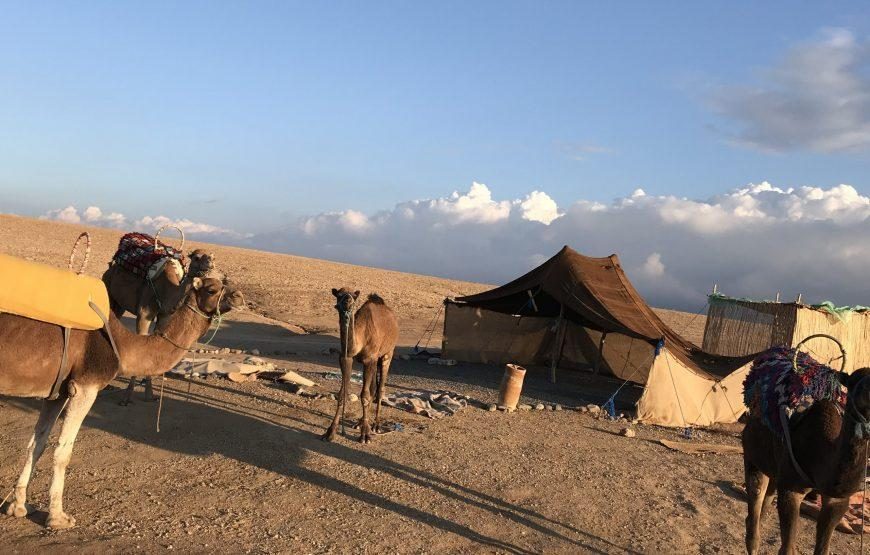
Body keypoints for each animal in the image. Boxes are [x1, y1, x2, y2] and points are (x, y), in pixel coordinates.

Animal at [102, 250, 216, 406]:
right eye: (196, 257)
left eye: (212, 257)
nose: (210, 263)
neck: (167, 289)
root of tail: (111, 267)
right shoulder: (144, 314)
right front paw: (126, 398)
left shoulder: (164, 316)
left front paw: (150, 395)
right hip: (109, 289)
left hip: (120, 304)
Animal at [322, 288, 400, 446]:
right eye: (339, 294)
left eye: (354, 295)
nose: (347, 300)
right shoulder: (346, 358)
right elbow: (342, 394)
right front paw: (330, 432)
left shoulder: (370, 359)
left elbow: (364, 396)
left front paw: (365, 435)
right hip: (375, 361)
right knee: (373, 389)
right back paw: (360, 423)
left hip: (387, 354)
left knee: (380, 389)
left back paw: (375, 425)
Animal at [744, 370, 870, 555]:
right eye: (855, 382)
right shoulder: (790, 489)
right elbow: (787, 549)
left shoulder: (836, 500)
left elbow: (822, 549)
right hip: (752, 456)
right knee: (755, 500)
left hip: (774, 471)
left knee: (765, 503)